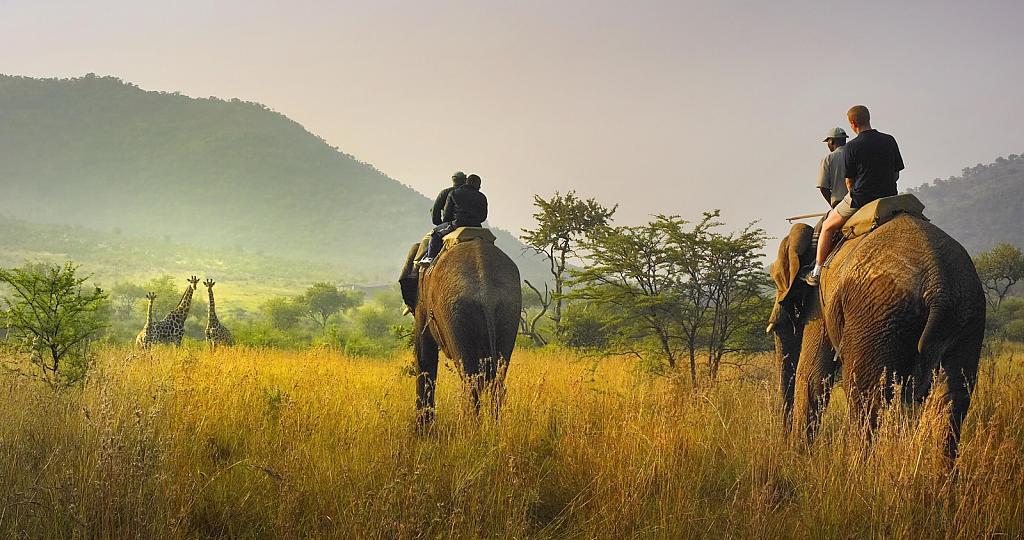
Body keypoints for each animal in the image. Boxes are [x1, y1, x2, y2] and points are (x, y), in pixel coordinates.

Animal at [770, 214, 987, 461]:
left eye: (776, 279)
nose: (784, 445)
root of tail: (938, 287)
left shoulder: (819, 299)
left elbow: (811, 376)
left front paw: (798, 457)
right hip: (966, 313)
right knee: (952, 396)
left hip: (878, 314)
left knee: (865, 394)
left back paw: (857, 466)